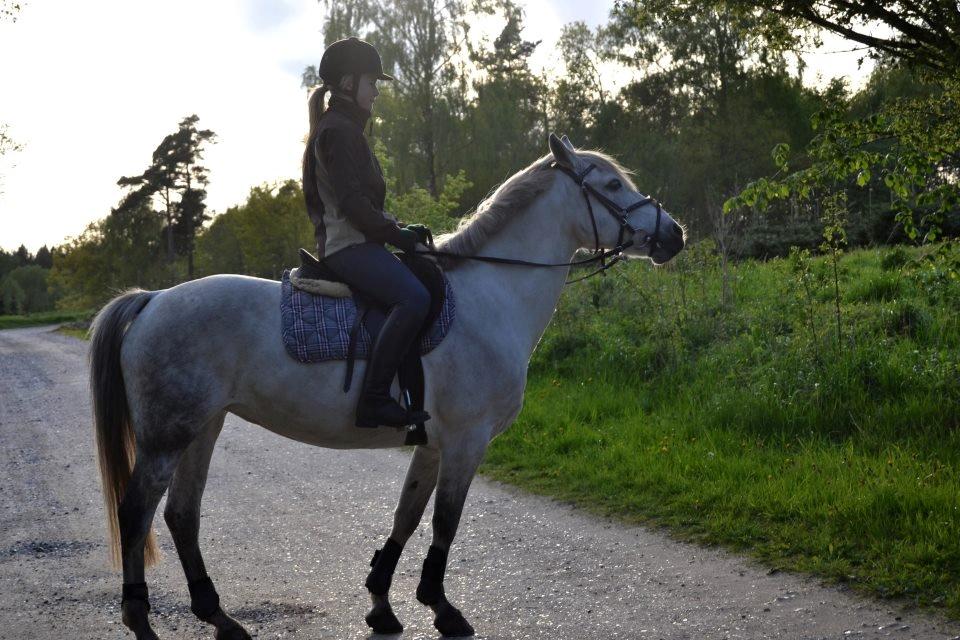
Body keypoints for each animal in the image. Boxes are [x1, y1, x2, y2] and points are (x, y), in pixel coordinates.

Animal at [88, 133, 685, 639]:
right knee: (136, 511)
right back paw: (140, 620)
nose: (673, 235)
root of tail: (152, 300)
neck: (489, 298)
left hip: (203, 428)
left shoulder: (433, 443)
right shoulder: (466, 441)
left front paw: (381, 603)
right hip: (168, 437)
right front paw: (442, 608)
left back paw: (220, 618)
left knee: (181, 514)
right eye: (612, 185)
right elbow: (445, 521)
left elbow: (408, 515)